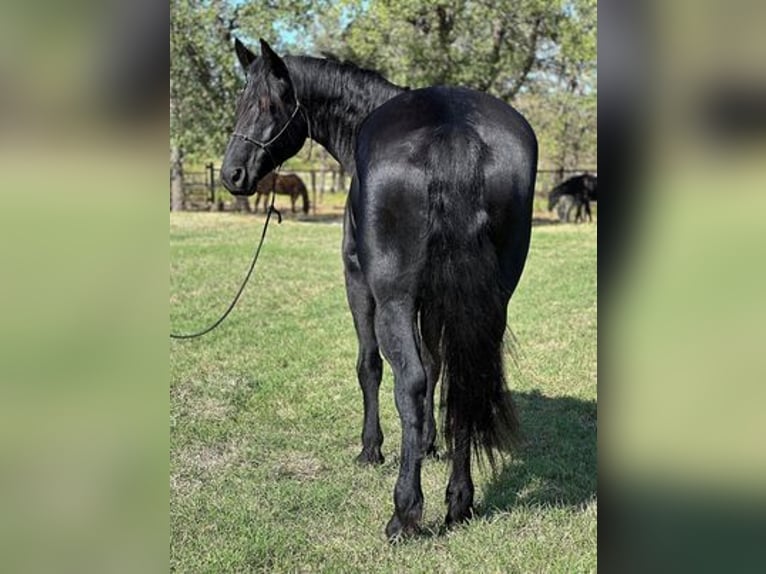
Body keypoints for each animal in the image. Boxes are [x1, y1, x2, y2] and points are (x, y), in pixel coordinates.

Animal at [219, 38, 536, 544]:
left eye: (266, 104)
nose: (232, 174)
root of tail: (453, 128)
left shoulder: (359, 284)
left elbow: (371, 366)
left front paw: (372, 449)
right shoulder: (438, 297)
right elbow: (437, 362)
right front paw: (428, 443)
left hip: (391, 299)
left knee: (408, 380)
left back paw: (405, 512)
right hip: (491, 303)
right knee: (462, 378)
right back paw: (459, 502)